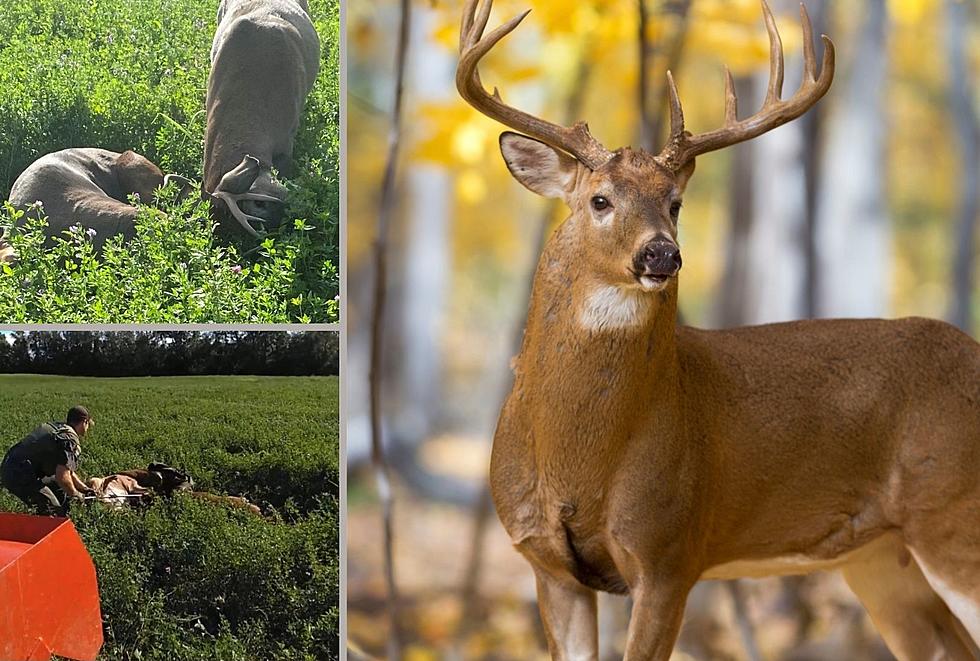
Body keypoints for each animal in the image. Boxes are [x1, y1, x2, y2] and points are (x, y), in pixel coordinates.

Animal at [460, 1, 980, 660]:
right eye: (600, 200)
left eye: (675, 202)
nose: (662, 254)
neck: (577, 459)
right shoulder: (547, 564)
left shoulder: (670, 551)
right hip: (881, 557)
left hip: (953, 515)